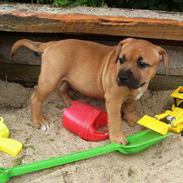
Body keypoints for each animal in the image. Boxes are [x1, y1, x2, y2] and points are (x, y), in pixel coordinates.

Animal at [10, 38, 169, 144]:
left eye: (142, 64)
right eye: (121, 59)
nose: (121, 77)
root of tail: (52, 43)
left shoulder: (131, 97)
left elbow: (130, 107)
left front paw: (133, 120)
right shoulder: (113, 100)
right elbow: (115, 120)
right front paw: (117, 137)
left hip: (66, 78)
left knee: (62, 89)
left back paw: (70, 103)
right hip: (49, 79)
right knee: (36, 98)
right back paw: (39, 121)